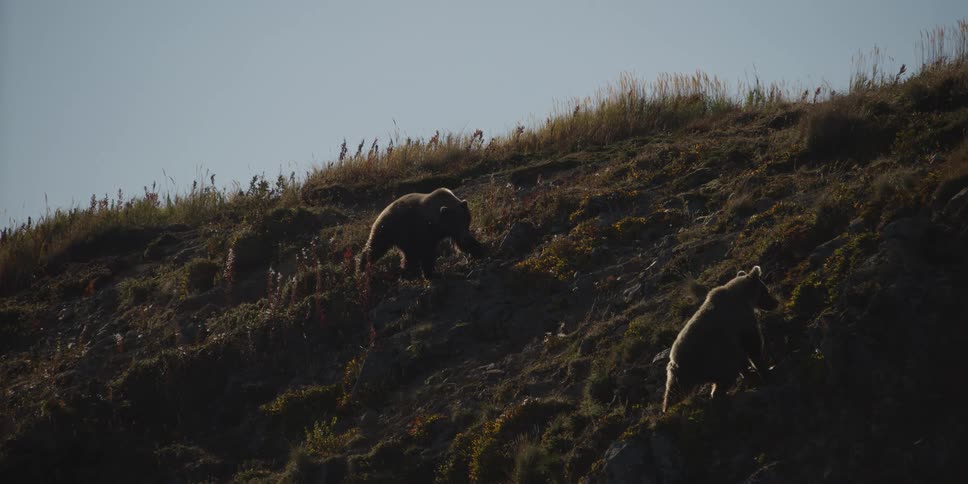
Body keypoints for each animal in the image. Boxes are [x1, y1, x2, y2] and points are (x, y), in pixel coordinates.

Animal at [358, 188, 486, 279]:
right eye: (454, 223)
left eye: (466, 220)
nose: (465, 237)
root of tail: (381, 212)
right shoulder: (424, 229)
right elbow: (427, 252)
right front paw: (430, 273)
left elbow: (463, 244)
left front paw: (480, 251)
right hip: (389, 229)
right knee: (375, 248)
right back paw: (361, 267)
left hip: (403, 236)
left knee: (408, 254)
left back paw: (408, 270)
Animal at [662, 265, 778, 413]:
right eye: (765, 290)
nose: (775, 303)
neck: (743, 298)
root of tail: (675, 362)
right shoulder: (741, 321)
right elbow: (752, 345)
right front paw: (766, 369)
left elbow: (745, 356)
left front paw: (752, 372)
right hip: (715, 358)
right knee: (725, 377)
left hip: (681, 374)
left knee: (673, 390)